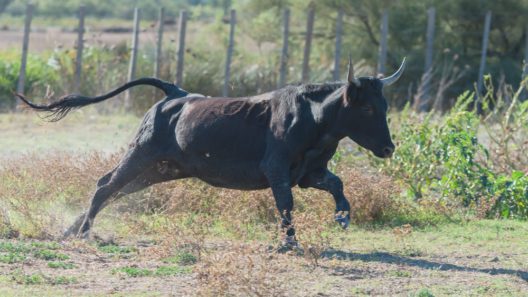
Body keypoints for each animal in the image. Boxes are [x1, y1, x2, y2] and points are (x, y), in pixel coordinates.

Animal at [15, 58, 404, 240]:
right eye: (367, 109)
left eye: (384, 105)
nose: (388, 148)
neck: (313, 117)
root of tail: (176, 93)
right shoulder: (277, 170)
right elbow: (286, 205)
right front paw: (288, 242)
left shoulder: (310, 173)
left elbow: (337, 185)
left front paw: (342, 217)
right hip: (141, 154)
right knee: (105, 185)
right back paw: (83, 232)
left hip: (161, 169)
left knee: (115, 189)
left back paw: (72, 229)